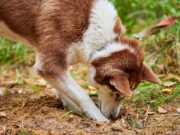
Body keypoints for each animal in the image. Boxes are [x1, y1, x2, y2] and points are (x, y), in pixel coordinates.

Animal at [0, 0, 160, 121]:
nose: (114, 118)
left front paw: (71, 108)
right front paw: (100, 120)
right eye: (116, 93)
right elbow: (82, 95)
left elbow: (66, 91)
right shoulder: (49, 64)